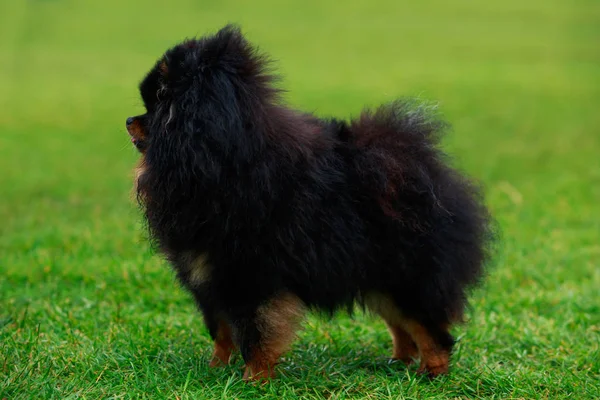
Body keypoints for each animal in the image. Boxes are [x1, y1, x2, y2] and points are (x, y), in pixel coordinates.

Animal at [125, 23, 492, 380]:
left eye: (159, 100)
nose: (129, 120)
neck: (220, 165)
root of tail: (426, 172)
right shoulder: (210, 280)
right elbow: (222, 332)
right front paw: (216, 369)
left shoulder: (252, 277)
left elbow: (256, 334)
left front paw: (252, 379)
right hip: (380, 279)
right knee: (403, 326)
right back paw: (398, 362)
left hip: (408, 276)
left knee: (430, 329)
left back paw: (432, 372)